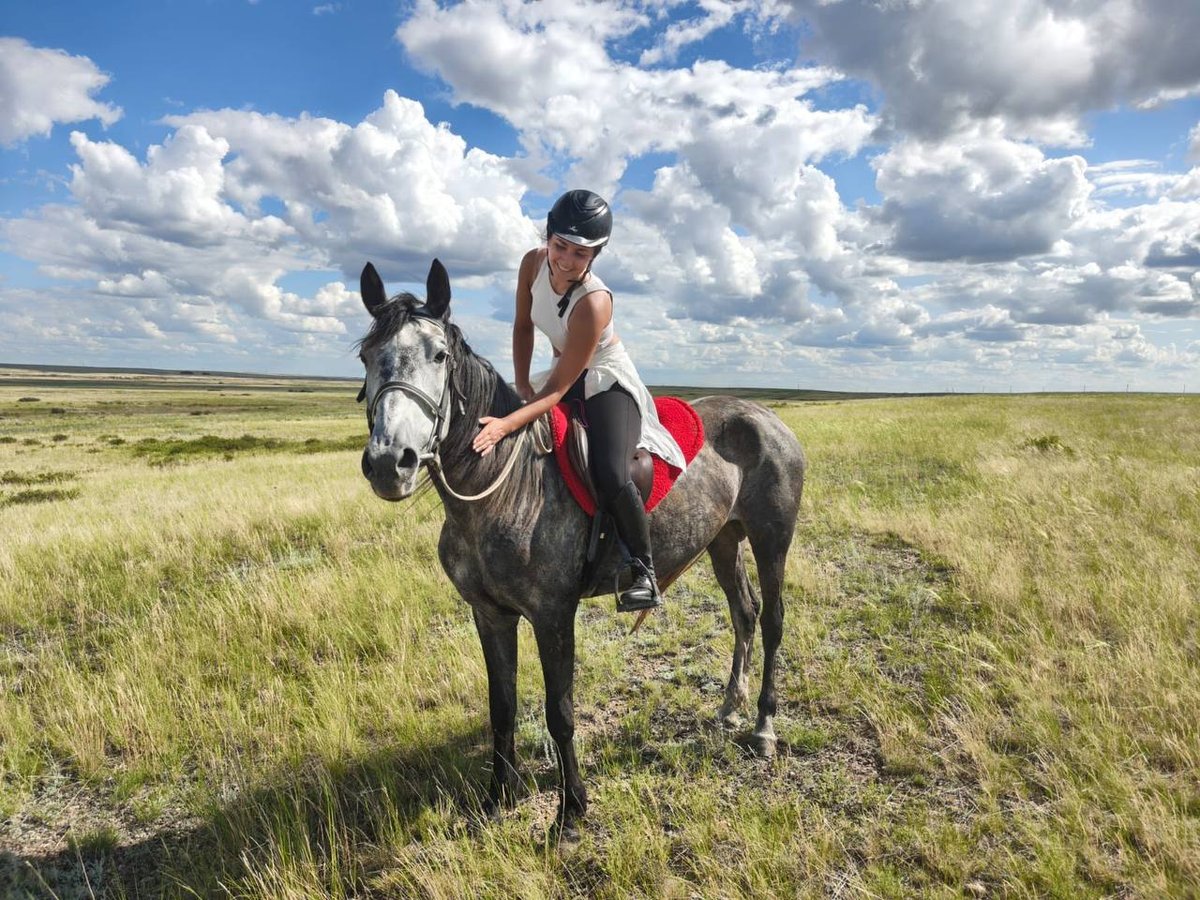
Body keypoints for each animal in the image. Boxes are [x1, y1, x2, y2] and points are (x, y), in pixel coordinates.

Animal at [357, 259, 806, 832]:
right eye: (367, 357)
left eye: (439, 355)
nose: (391, 462)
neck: (505, 487)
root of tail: (766, 416)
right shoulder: (490, 614)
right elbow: (501, 707)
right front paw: (497, 797)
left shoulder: (553, 614)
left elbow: (560, 711)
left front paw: (570, 813)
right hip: (723, 538)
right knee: (744, 612)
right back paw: (730, 707)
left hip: (773, 538)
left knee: (772, 621)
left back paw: (764, 727)